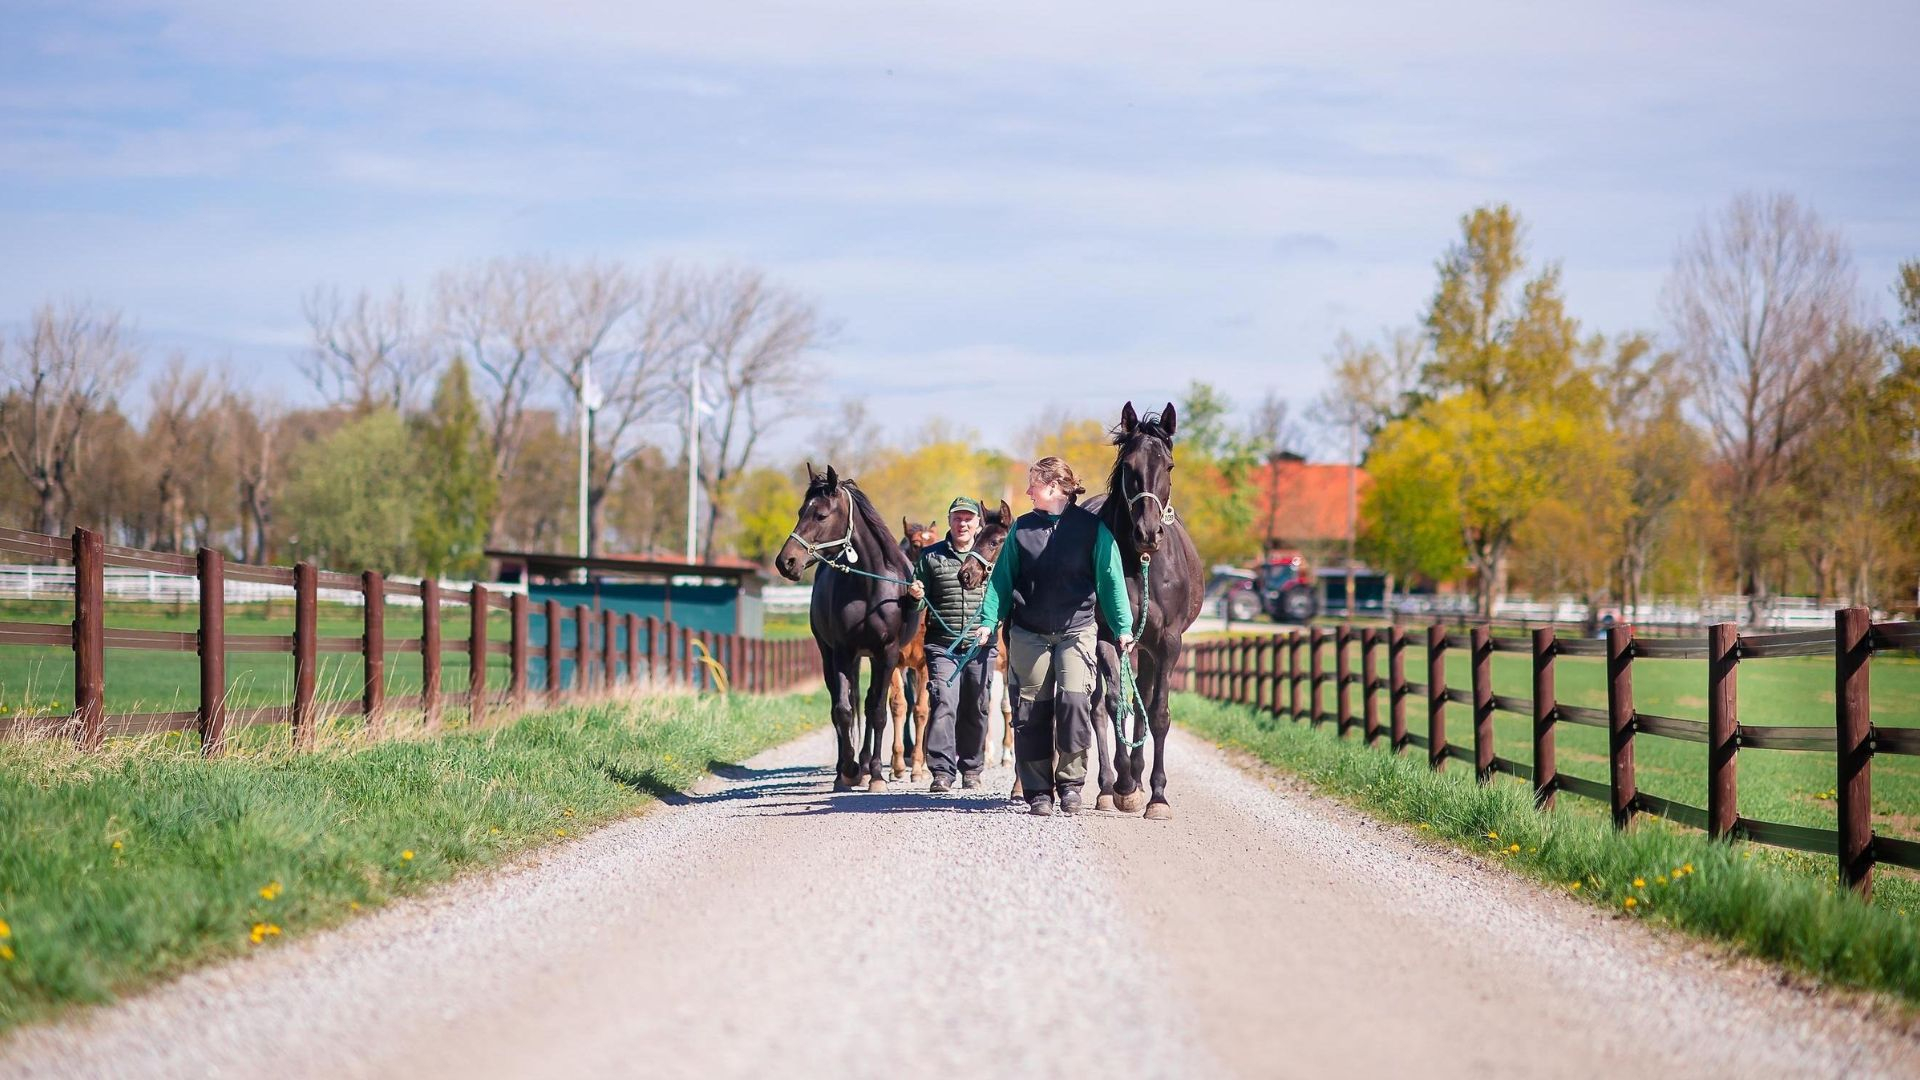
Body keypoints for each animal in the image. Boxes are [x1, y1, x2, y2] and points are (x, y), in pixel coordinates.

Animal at [775, 465, 922, 792]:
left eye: (821, 515)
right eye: (801, 511)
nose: (785, 561)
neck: (869, 588)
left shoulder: (887, 654)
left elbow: (877, 712)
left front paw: (876, 775)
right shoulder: (842, 651)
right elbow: (843, 711)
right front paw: (847, 770)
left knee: (867, 705)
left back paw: (867, 767)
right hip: (832, 655)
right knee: (844, 705)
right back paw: (852, 767)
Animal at [1088, 402, 1203, 820]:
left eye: (1169, 466)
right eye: (1128, 465)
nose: (1148, 533)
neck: (1140, 563)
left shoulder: (1168, 642)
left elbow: (1158, 713)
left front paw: (1157, 796)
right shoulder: (1108, 638)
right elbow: (1114, 704)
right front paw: (1122, 786)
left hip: (1150, 648)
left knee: (1145, 702)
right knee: (1099, 707)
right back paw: (1110, 787)